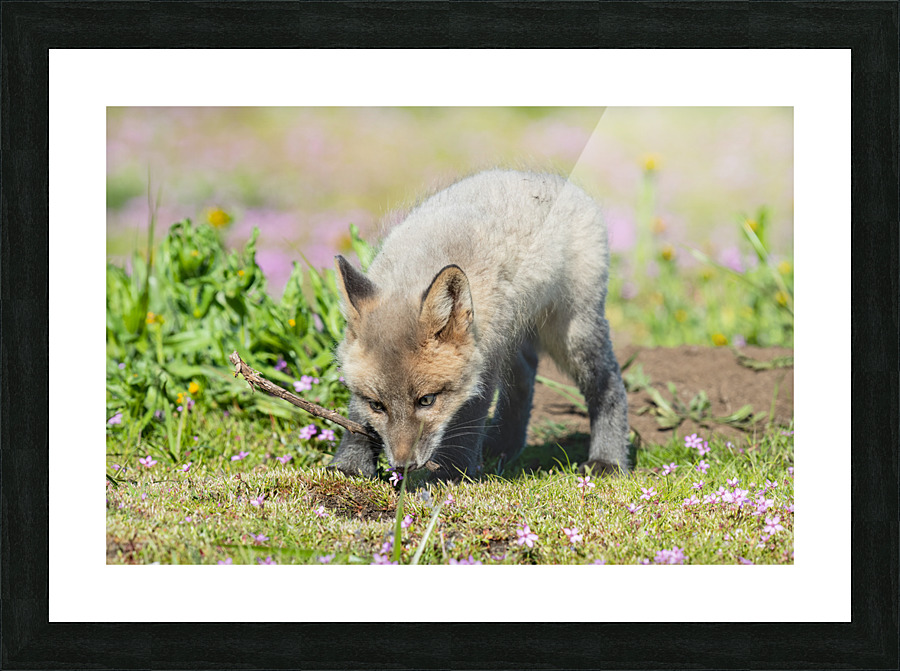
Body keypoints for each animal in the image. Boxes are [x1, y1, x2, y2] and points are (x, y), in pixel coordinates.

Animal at [329, 169, 630, 482]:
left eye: (426, 400)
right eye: (377, 405)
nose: (403, 466)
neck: (416, 270)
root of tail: (551, 179)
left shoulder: (485, 356)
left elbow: (468, 418)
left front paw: (450, 474)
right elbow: (357, 418)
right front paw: (350, 464)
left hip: (571, 331)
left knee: (609, 381)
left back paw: (608, 459)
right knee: (525, 373)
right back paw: (505, 446)